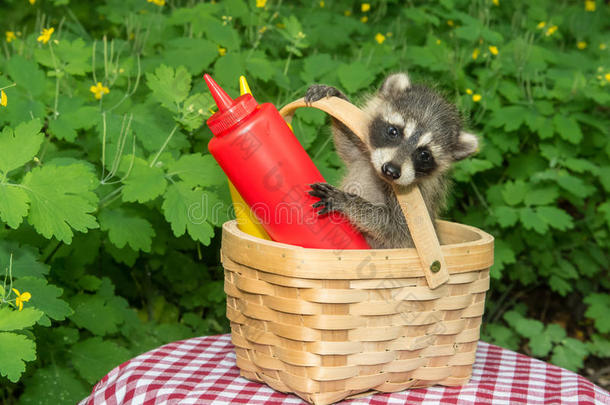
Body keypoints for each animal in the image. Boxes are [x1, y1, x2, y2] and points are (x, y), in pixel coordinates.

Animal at [306, 73, 478, 249]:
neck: (381, 178)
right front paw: (337, 95)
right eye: (393, 131)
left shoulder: (419, 198)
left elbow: (396, 229)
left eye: (425, 155)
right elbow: (349, 146)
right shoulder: (365, 158)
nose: (391, 170)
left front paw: (347, 201)